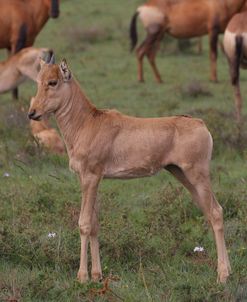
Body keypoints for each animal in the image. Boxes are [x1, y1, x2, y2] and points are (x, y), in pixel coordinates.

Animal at [28, 55, 231, 284]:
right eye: (38, 80)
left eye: (53, 82)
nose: (32, 113)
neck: (88, 122)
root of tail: (200, 124)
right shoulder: (92, 179)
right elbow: (95, 224)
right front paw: (97, 275)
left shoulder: (90, 177)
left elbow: (84, 223)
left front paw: (82, 277)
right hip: (182, 175)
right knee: (211, 211)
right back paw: (228, 270)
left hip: (198, 174)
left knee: (215, 212)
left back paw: (223, 275)